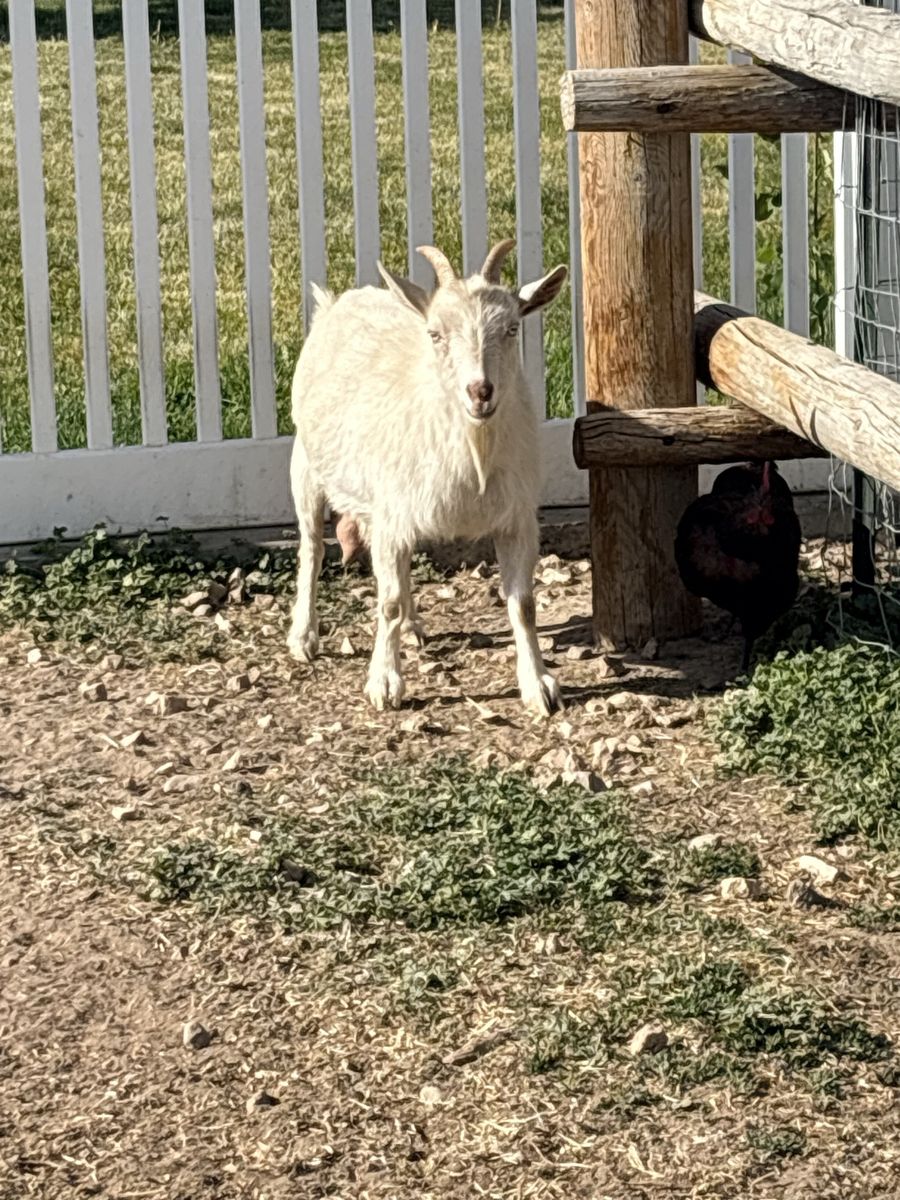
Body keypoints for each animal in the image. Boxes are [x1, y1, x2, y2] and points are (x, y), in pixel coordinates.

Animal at [287, 240, 568, 716]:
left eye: (512, 328)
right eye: (436, 334)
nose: (480, 391)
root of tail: (341, 300)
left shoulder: (517, 520)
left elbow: (524, 605)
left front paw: (539, 685)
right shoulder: (391, 518)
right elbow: (386, 602)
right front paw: (384, 683)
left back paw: (414, 625)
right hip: (306, 465)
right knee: (312, 549)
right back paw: (304, 636)